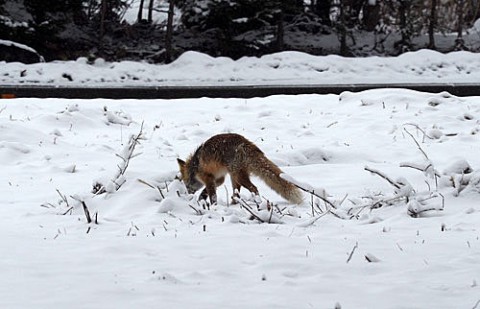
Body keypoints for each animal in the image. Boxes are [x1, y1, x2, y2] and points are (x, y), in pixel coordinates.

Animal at [176, 132, 304, 205]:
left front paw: (212, 206)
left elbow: (212, 195)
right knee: (236, 193)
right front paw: (201, 200)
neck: (195, 166)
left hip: (238, 176)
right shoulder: (219, 178)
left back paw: (257, 203)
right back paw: (234, 204)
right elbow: (206, 191)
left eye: (185, 182)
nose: (188, 193)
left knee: (254, 188)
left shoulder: (208, 178)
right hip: (234, 176)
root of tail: (246, 143)